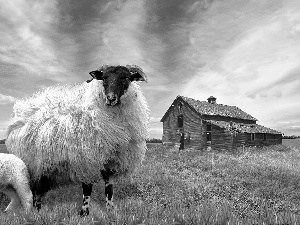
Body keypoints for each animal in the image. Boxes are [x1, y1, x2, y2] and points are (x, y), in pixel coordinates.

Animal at [4, 64, 150, 216]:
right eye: (104, 78)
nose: (110, 98)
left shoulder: (111, 162)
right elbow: (87, 190)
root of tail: (20, 112)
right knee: (34, 192)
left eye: (126, 78)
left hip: (47, 167)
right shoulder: (85, 160)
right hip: (34, 165)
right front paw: (84, 213)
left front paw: (111, 211)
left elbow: (109, 190)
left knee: (39, 190)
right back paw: (36, 212)